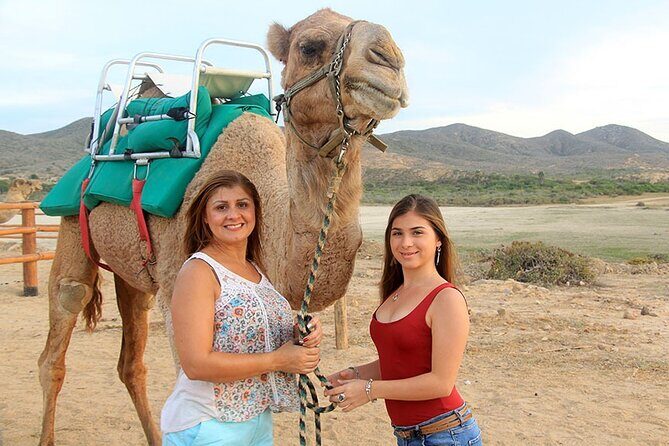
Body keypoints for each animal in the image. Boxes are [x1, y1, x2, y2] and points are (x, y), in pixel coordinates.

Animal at [37, 8, 407, 445]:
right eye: (309, 46)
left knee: (132, 358)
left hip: (135, 269)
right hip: (70, 219)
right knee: (64, 315)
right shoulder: (179, 287)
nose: (389, 59)